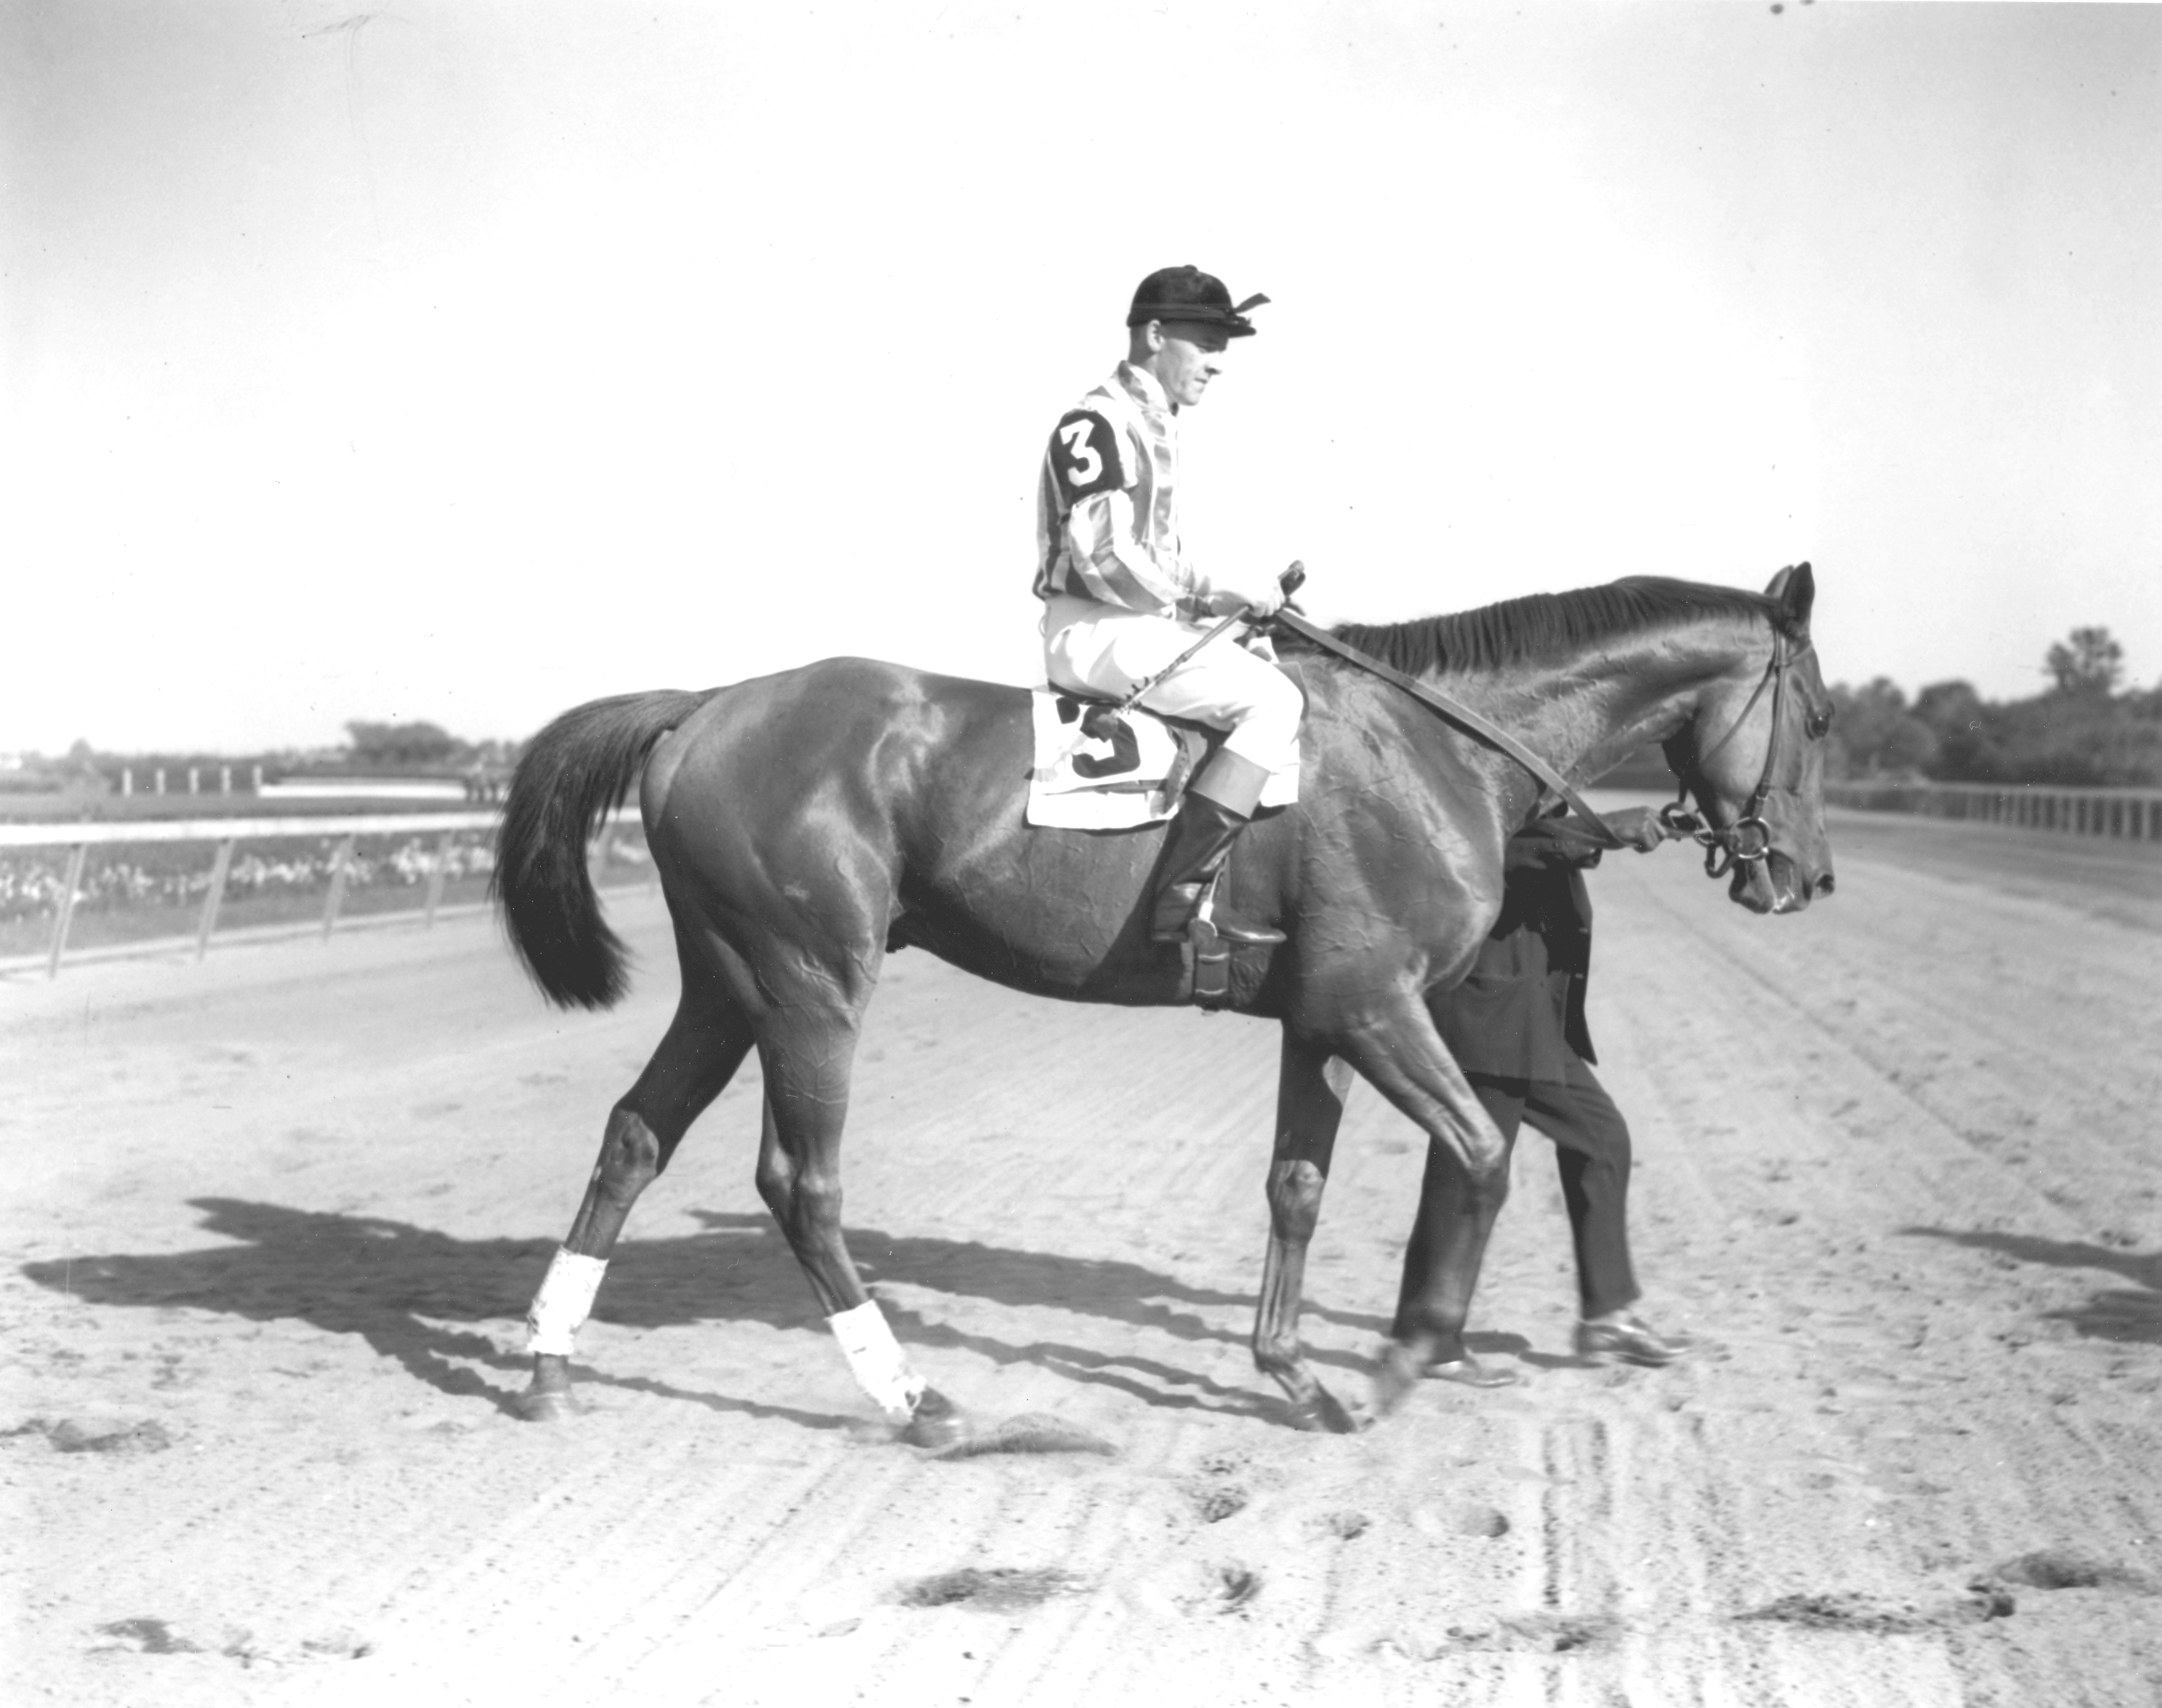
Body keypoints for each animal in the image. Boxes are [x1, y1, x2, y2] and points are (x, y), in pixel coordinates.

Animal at [497, 566, 1833, 1435]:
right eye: (1818, 715)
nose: (1806, 877)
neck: (1433, 746)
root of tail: (706, 705)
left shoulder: (1324, 1019)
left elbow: (1300, 1187)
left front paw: (1298, 1372)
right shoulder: (1375, 1006)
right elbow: (1482, 1152)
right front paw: (1404, 1355)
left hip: (729, 984)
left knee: (635, 1136)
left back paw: (551, 1364)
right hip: (812, 982)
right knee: (801, 1183)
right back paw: (920, 1401)